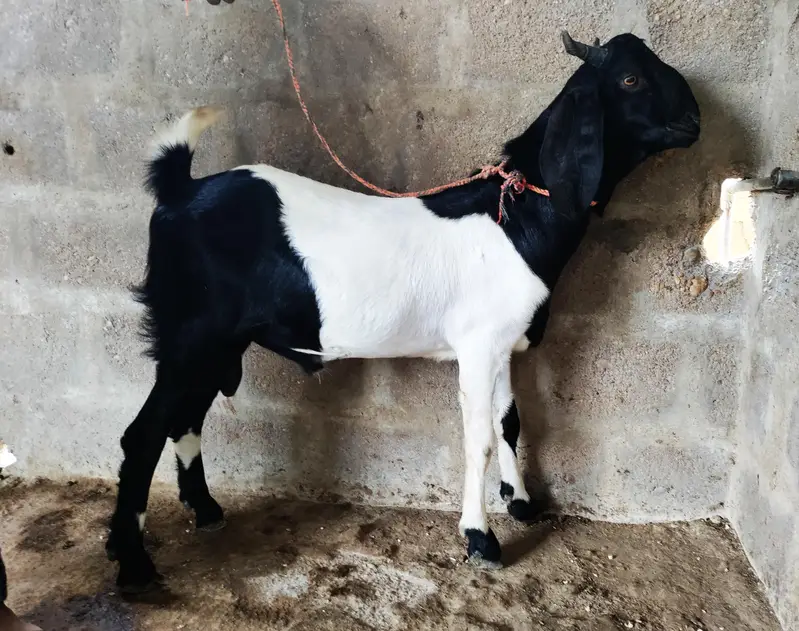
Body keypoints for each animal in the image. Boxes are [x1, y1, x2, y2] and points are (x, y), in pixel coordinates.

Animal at [106, 31, 700, 591]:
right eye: (629, 80)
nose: (695, 120)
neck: (516, 217)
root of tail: (179, 189)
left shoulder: (502, 343)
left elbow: (509, 420)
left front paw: (520, 502)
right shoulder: (477, 345)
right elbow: (479, 437)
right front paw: (480, 538)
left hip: (217, 341)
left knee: (185, 417)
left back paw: (205, 511)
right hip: (191, 332)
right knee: (143, 433)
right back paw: (133, 563)